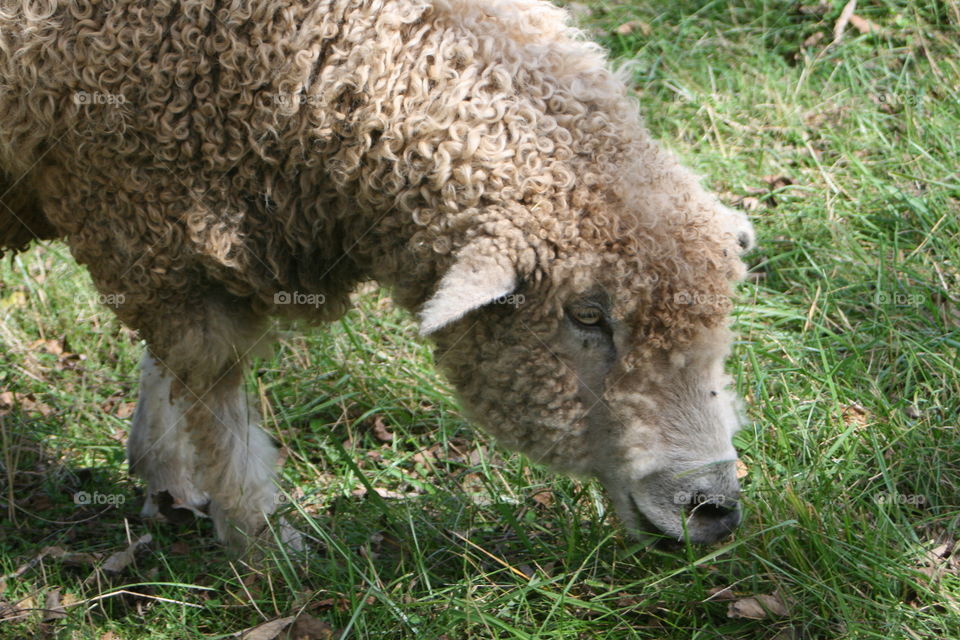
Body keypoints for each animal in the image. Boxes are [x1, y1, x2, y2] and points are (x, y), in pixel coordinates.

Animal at [0, 0, 754, 549]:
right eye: (588, 316)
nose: (712, 508)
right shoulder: (143, 215)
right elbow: (212, 389)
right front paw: (263, 547)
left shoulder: (177, 241)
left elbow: (172, 368)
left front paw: (167, 477)